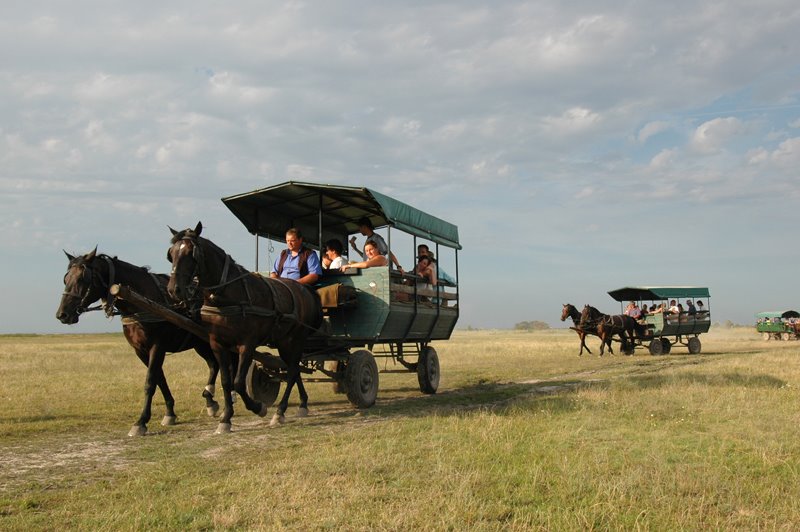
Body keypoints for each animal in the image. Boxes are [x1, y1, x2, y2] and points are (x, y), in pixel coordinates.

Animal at [55, 248, 222, 436]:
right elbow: (160, 379)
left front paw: (141, 421)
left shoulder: (157, 347)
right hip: (200, 344)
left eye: (82, 279)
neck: (143, 303)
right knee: (213, 364)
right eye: (66, 279)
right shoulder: (140, 350)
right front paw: (170, 413)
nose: (62, 314)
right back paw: (210, 400)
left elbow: (150, 382)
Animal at [167, 222, 324, 434]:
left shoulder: (247, 344)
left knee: (292, 372)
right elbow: (226, 382)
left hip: (295, 340)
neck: (228, 295)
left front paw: (258, 407)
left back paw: (280, 412)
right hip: (284, 342)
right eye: (171, 254)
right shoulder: (217, 344)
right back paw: (302, 404)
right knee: (295, 369)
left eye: (192, 253)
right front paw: (226, 418)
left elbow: (238, 382)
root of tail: (306, 291)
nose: (173, 289)